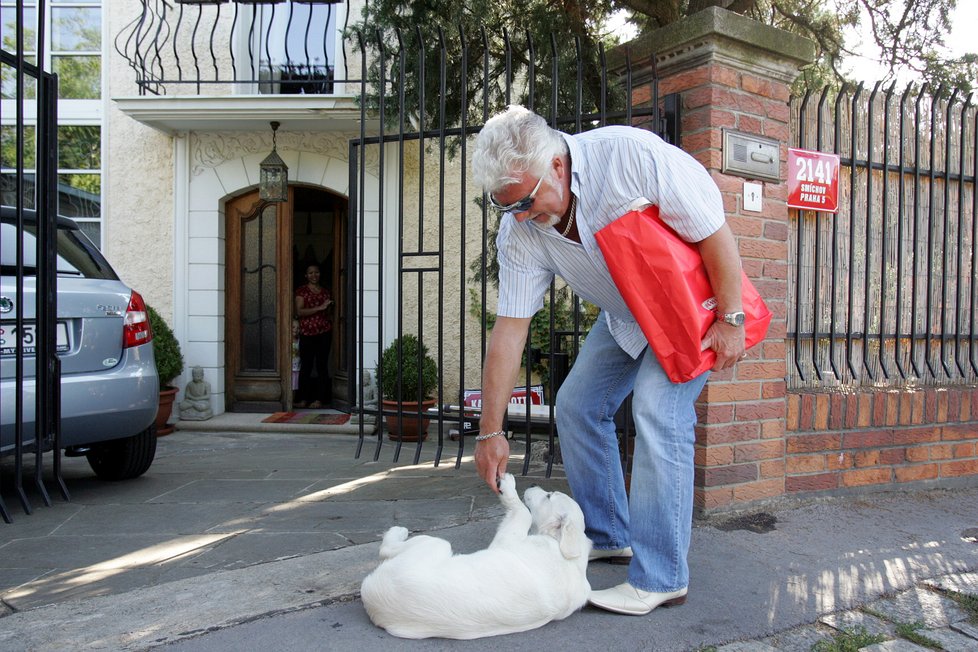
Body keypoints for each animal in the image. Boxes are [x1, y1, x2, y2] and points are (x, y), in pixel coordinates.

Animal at [356, 472, 588, 640]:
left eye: (549, 496)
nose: (531, 483)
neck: (571, 558)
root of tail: (372, 596)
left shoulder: (505, 542)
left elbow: (523, 512)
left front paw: (507, 486)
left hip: (435, 544)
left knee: (385, 549)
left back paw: (398, 531)